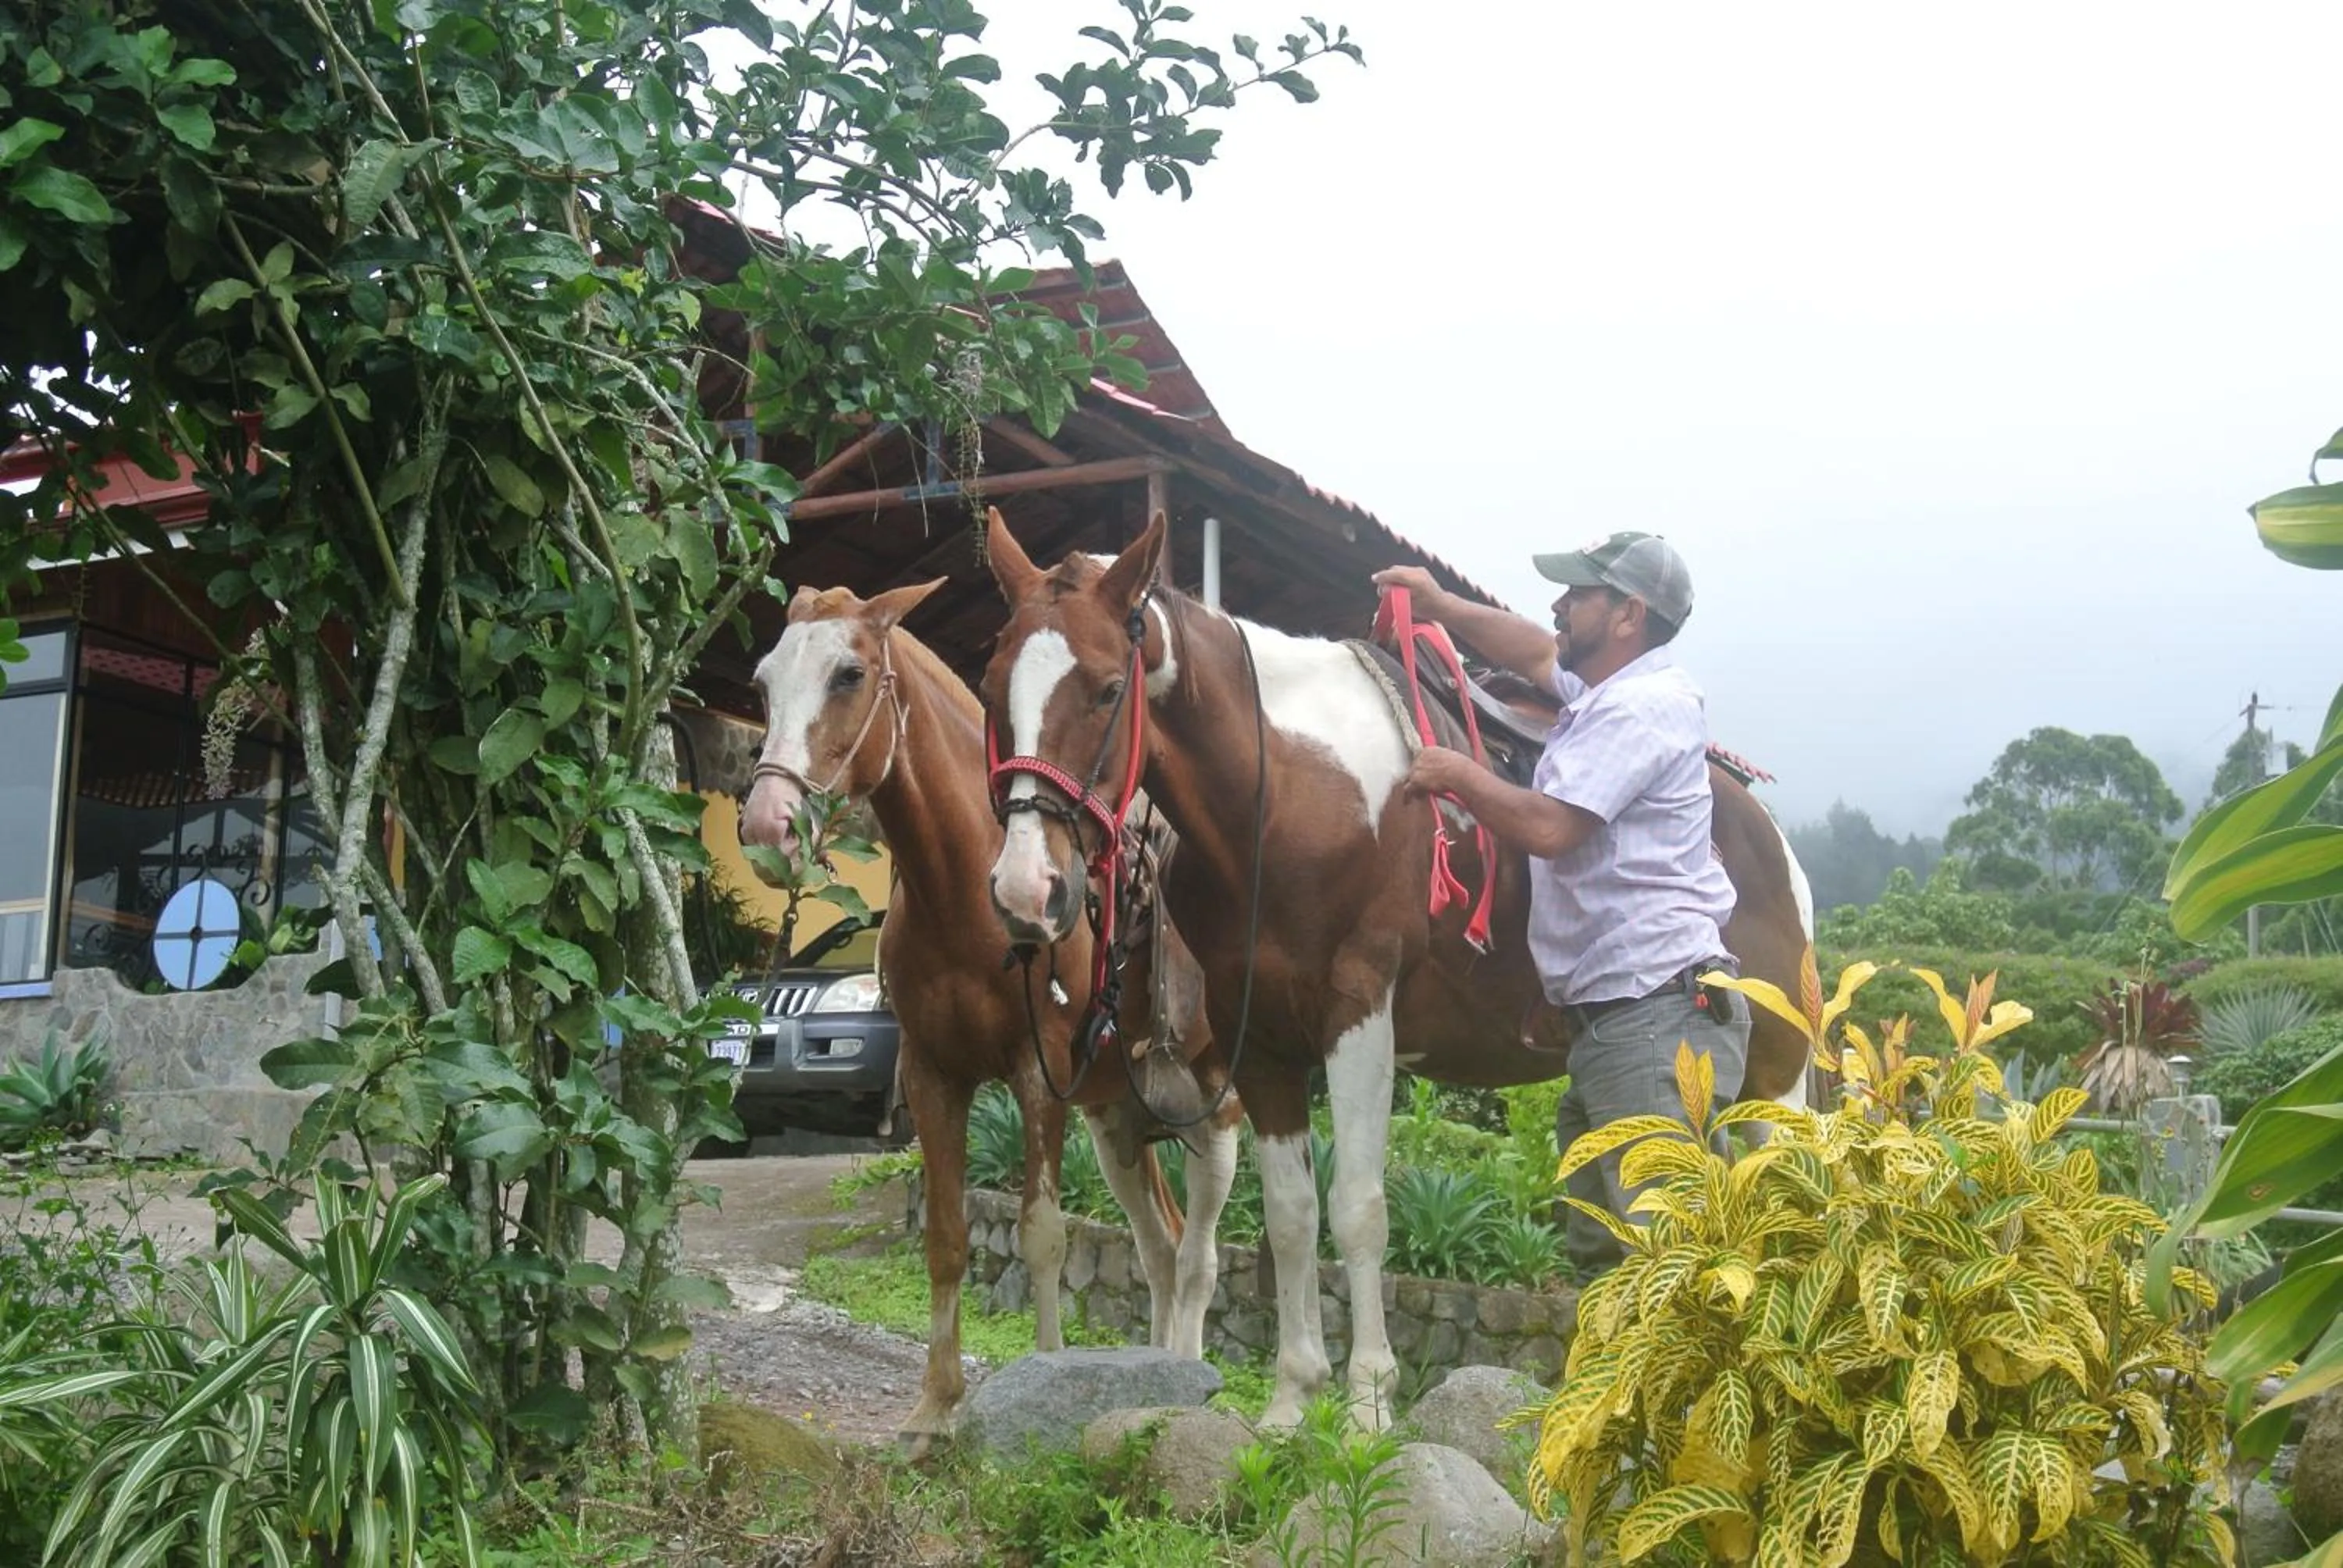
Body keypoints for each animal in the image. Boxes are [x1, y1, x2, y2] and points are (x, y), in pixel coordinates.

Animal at [736, 579, 1242, 1457]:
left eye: (849, 674)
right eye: (765, 682)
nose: (768, 825)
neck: (966, 888)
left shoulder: (1036, 1076)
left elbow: (1042, 1237)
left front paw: (1041, 1382)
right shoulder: (930, 1075)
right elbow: (946, 1237)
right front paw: (933, 1410)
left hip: (1217, 1116)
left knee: (1203, 1256)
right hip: (1120, 1123)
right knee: (1164, 1248)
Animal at [977, 509, 1816, 1430]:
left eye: (1102, 689)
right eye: (990, 686)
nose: (1026, 888)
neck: (1288, 798)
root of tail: (1766, 833)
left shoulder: (1358, 1016)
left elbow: (1359, 1209)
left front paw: (1370, 1400)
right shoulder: (1260, 1045)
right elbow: (1291, 1215)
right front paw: (1294, 1395)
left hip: (1777, 1081)